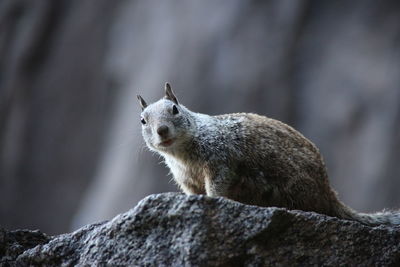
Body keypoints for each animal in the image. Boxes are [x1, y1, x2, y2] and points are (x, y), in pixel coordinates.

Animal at [136, 83, 398, 226]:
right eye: (142, 120)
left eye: (175, 109)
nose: (162, 130)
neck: (182, 154)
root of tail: (329, 193)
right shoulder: (187, 180)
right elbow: (193, 193)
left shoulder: (220, 161)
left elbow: (218, 185)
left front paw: (213, 199)